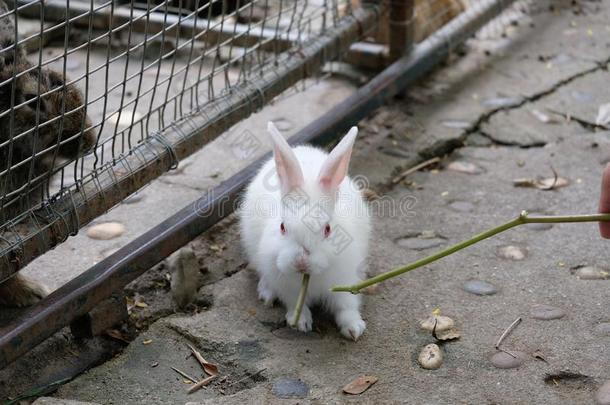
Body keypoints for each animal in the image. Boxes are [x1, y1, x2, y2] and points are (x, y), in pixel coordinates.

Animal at [240, 121, 368, 340]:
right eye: (282, 227)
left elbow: (346, 306)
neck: (310, 278)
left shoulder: (345, 279)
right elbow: (294, 303)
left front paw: (354, 329)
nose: (301, 262)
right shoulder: (287, 287)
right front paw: (300, 322)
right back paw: (266, 293)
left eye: (327, 229)